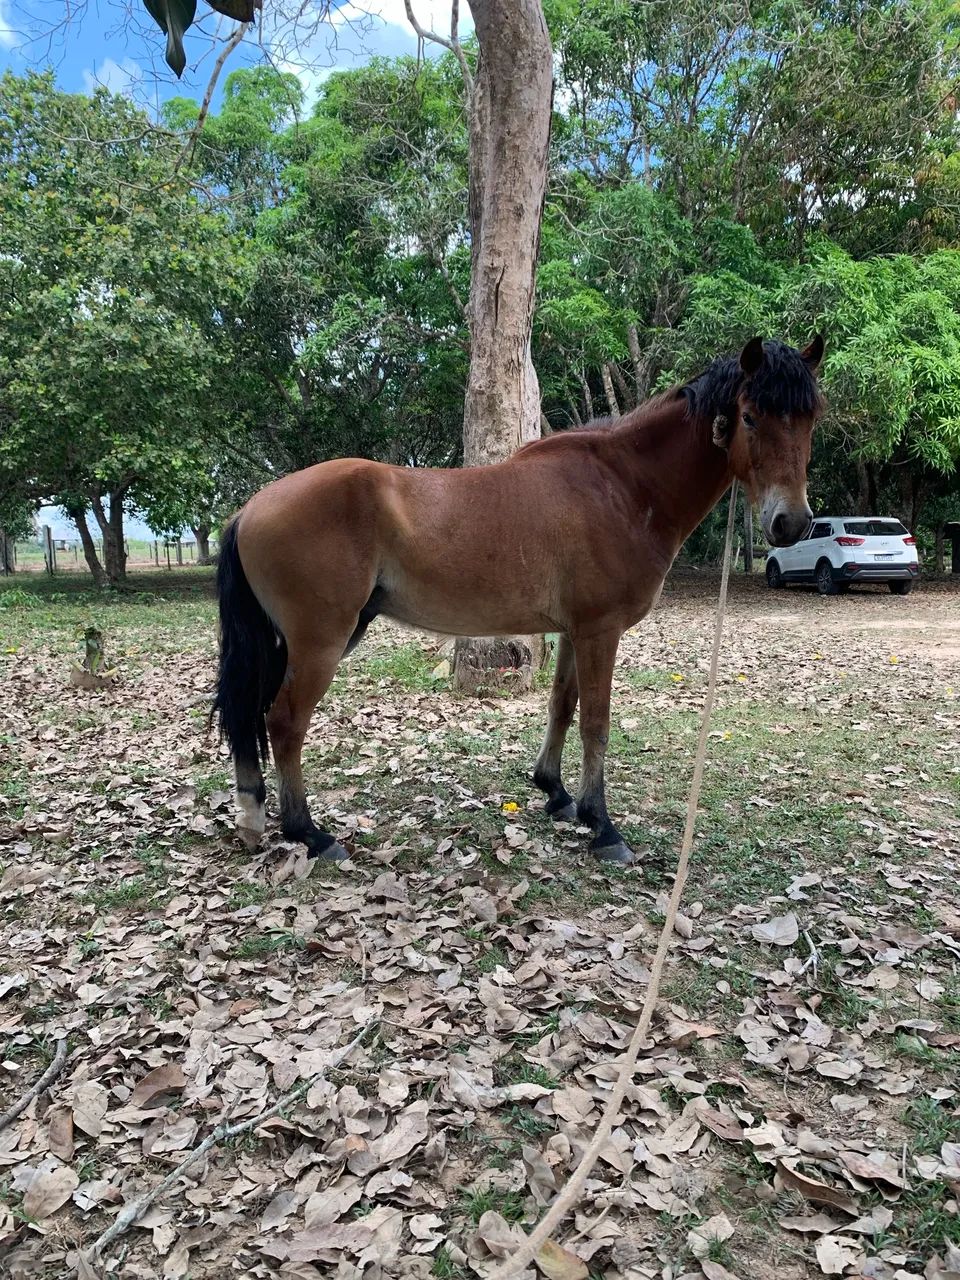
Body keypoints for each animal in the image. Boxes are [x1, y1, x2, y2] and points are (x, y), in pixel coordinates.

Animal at [212, 335, 824, 867]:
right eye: (750, 416)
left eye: (810, 419)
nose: (791, 523)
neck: (624, 486)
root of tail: (250, 508)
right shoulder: (601, 631)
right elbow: (596, 721)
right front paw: (603, 827)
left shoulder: (577, 631)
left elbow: (562, 706)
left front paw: (557, 795)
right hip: (320, 641)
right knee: (284, 721)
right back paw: (309, 834)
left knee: (254, 716)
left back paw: (253, 817)